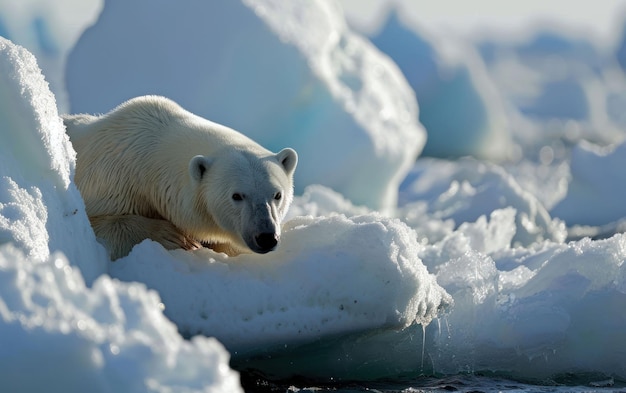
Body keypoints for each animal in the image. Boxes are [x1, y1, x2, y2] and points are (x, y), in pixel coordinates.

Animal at [63, 95, 298, 258]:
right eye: (237, 196)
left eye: (277, 195)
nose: (266, 237)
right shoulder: (108, 180)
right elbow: (95, 223)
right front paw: (174, 237)